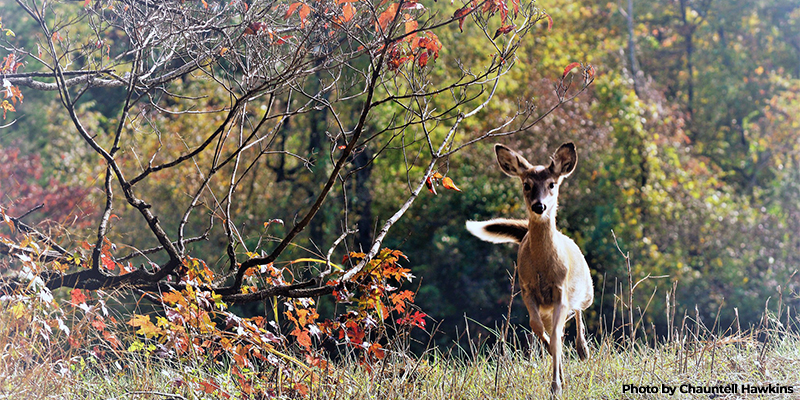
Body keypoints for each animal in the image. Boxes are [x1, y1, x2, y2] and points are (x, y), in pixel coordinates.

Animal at [466, 143, 592, 396]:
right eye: (527, 184)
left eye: (552, 184)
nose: (539, 206)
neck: (543, 269)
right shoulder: (526, 289)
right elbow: (539, 329)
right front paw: (557, 378)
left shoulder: (560, 291)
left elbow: (556, 336)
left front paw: (556, 386)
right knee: (559, 328)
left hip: (587, 289)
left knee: (578, 311)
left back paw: (583, 350)